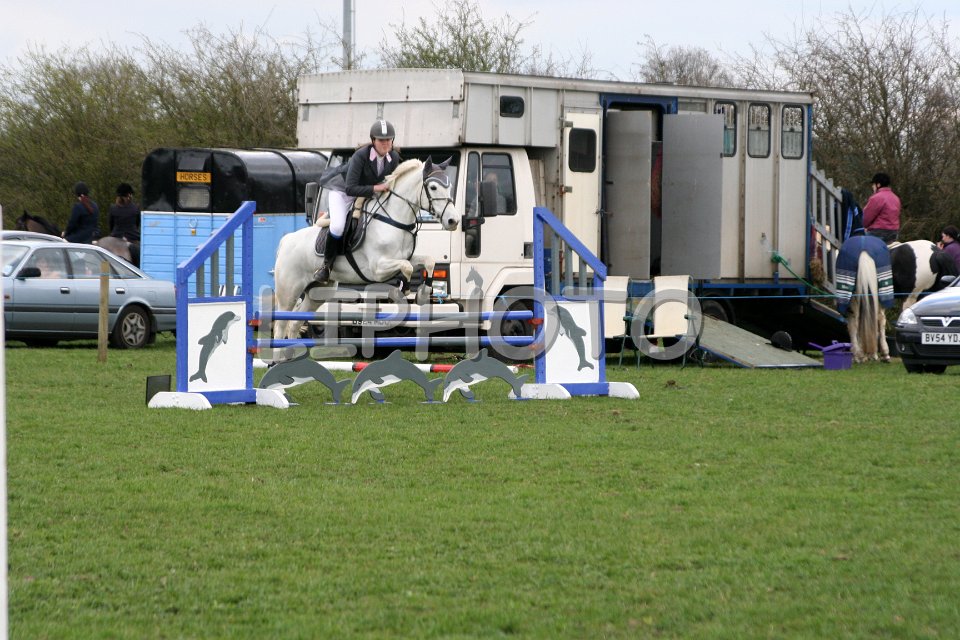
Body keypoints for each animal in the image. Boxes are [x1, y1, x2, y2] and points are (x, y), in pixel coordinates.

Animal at [272, 158, 461, 340]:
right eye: (433, 187)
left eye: (450, 186)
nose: (453, 221)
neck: (393, 220)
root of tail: (286, 240)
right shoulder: (378, 269)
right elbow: (406, 268)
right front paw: (405, 289)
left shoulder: (406, 257)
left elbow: (428, 261)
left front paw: (423, 293)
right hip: (289, 291)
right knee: (281, 324)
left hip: (317, 292)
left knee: (295, 322)